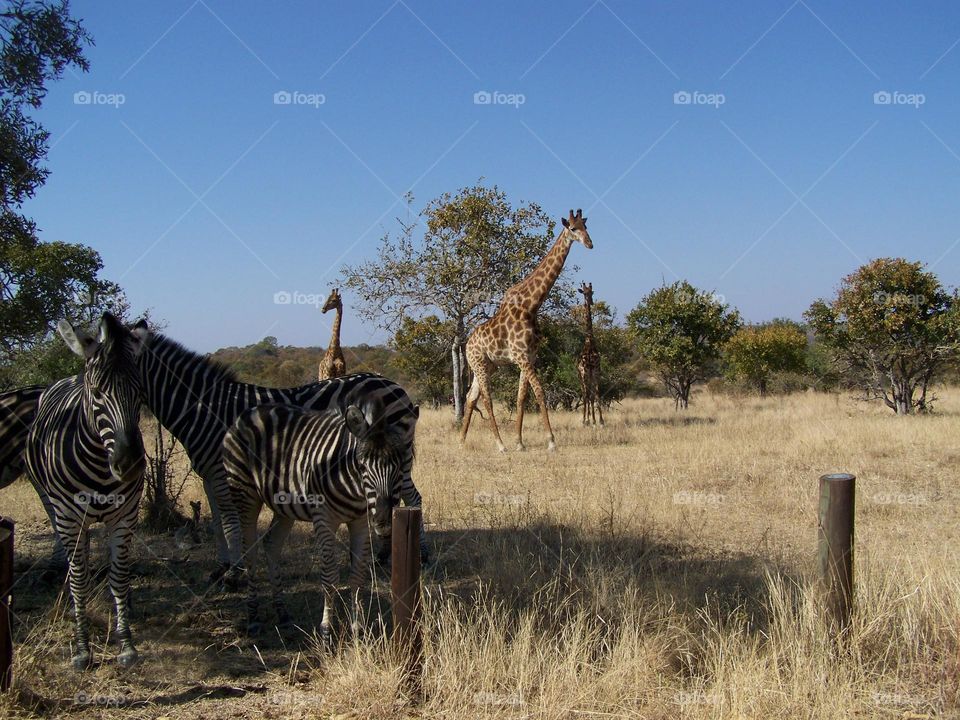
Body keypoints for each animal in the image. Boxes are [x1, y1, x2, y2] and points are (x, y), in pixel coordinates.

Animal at [24, 316, 149, 668]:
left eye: (140, 391)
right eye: (96, 393)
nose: (129, 464)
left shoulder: (125, 514)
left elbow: (118, 576)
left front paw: (126, 644)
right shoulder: (69, 516)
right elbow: (78, 579)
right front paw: (82, 648)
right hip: (52, 504)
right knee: (71, 558)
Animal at [135, 330, 424, 576]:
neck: (204, 407)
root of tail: (394, 385)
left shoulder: (220, 471)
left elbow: (230, 521)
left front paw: (234, 570)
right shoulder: (209, 475)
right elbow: (218, 521)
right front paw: (222, 566)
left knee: (410, 497)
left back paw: (413, 554)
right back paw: (386, 554)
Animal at [222, 396, 408, 640]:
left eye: (400, 466)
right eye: (363, 466)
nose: (384, 522)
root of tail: (249, 411)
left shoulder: (361, 521)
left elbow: (358, 575)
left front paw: (358, 629)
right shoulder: (323, 519)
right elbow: (329, 577)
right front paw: (327, 630)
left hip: (283, 506)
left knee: (271, 544)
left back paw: (282, 615)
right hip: (245, 495)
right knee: (249, 551)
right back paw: (253, 618)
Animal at [460, 208, 592, 452]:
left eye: (586, 226)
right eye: (572, 228)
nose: (589, 243)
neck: (531, 306)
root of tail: (466, 346)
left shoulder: (529, 357)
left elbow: (522, 397)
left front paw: (520, 443)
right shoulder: (522, 357)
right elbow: (540, 392)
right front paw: (551, 441)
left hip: (488, 366)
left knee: (470, 397)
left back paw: (462, 441)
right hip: (480, 364)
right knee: (486, 399)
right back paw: (500, 445)